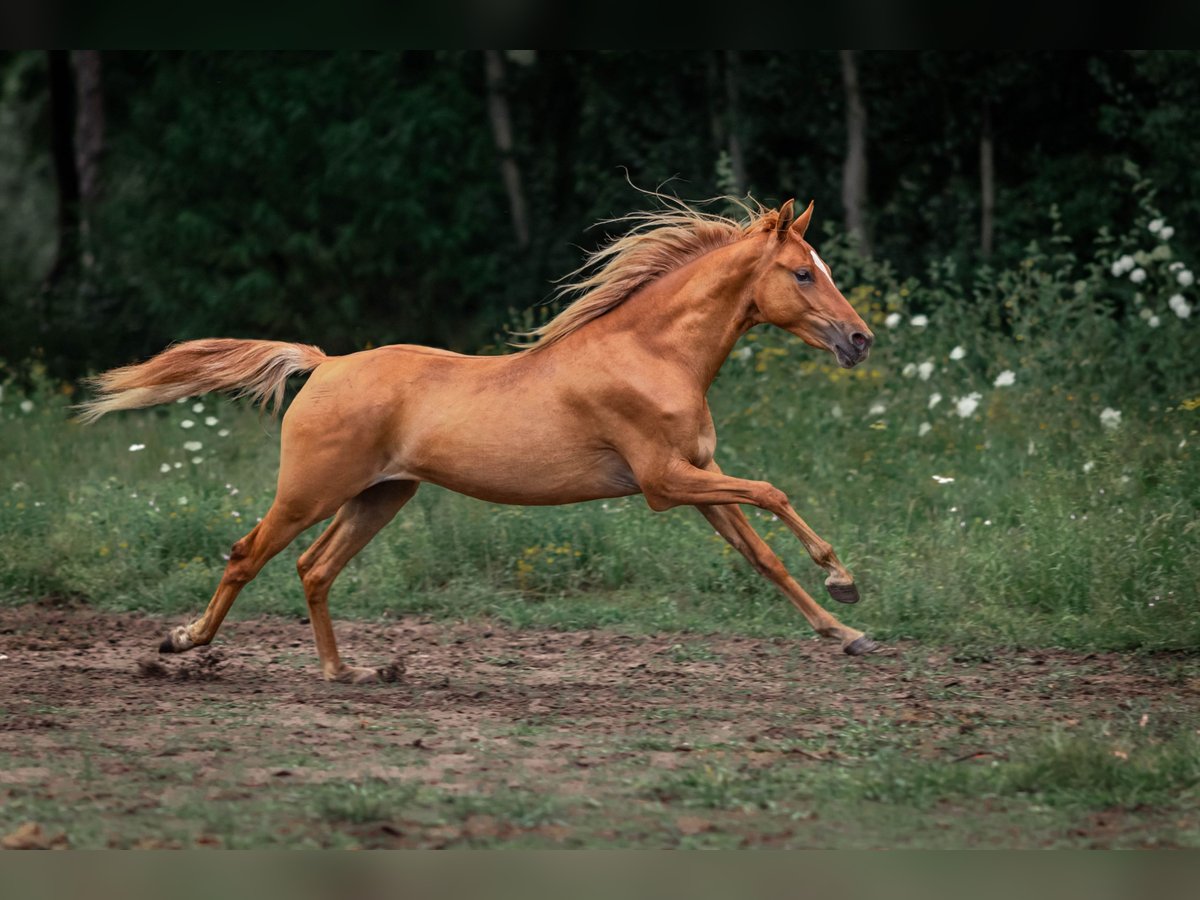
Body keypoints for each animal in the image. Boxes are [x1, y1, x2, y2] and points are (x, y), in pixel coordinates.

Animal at [82, 200, 873, 686]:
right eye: (803, 273)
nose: (860, 339)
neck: (650, 354)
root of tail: (326, 363)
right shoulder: (663, 482)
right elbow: (774, 491)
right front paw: (844, 580)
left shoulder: (698, 477)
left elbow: (764, 556)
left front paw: (846, 630)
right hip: (313, 490)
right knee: (249, 554)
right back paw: (183, 642)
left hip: (381, 496)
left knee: (313, 568)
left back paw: (351, 673)